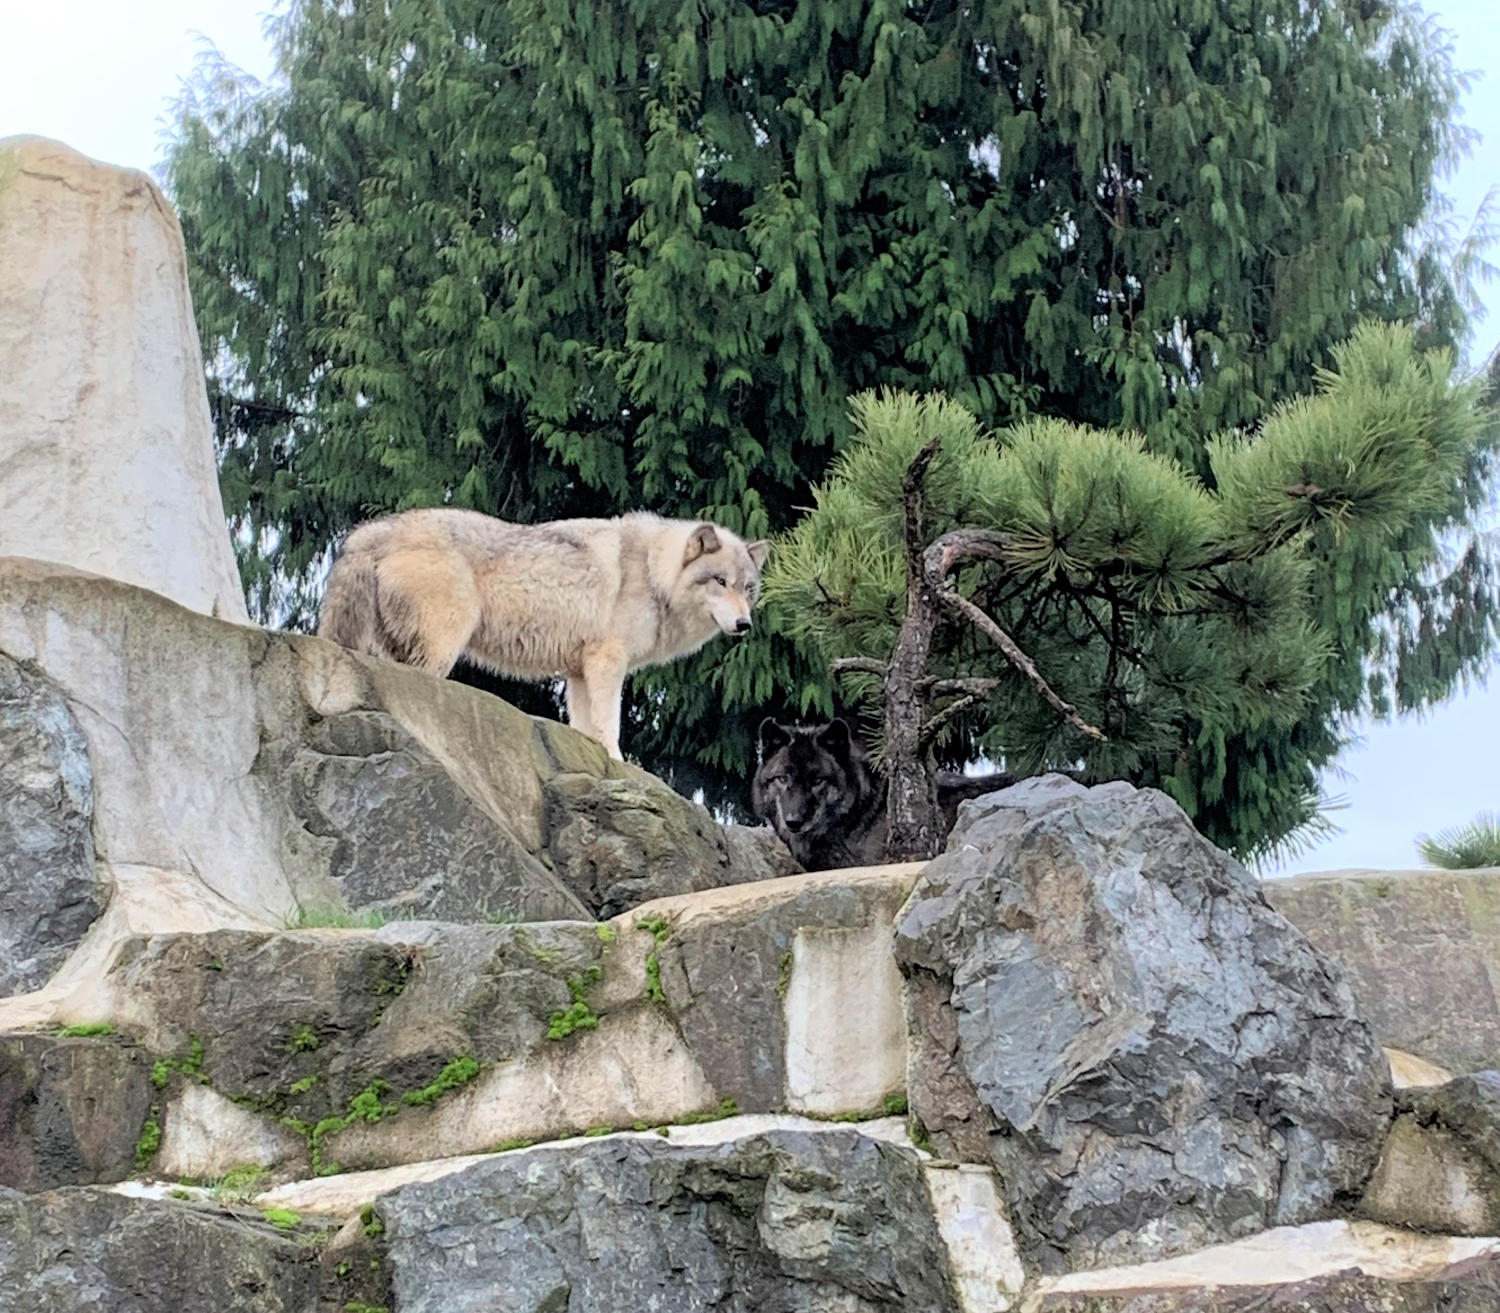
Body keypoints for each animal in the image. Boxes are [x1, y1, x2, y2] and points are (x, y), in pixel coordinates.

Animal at [313, 510, 762, 765]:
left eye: (748, 588)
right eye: (720, 582)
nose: (744, 625)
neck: (653, 573)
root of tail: (372, 531)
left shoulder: (579, 672)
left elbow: (585, 726)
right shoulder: (607, 661)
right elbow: (610, 724)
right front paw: (619, 762)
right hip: (443, 648)